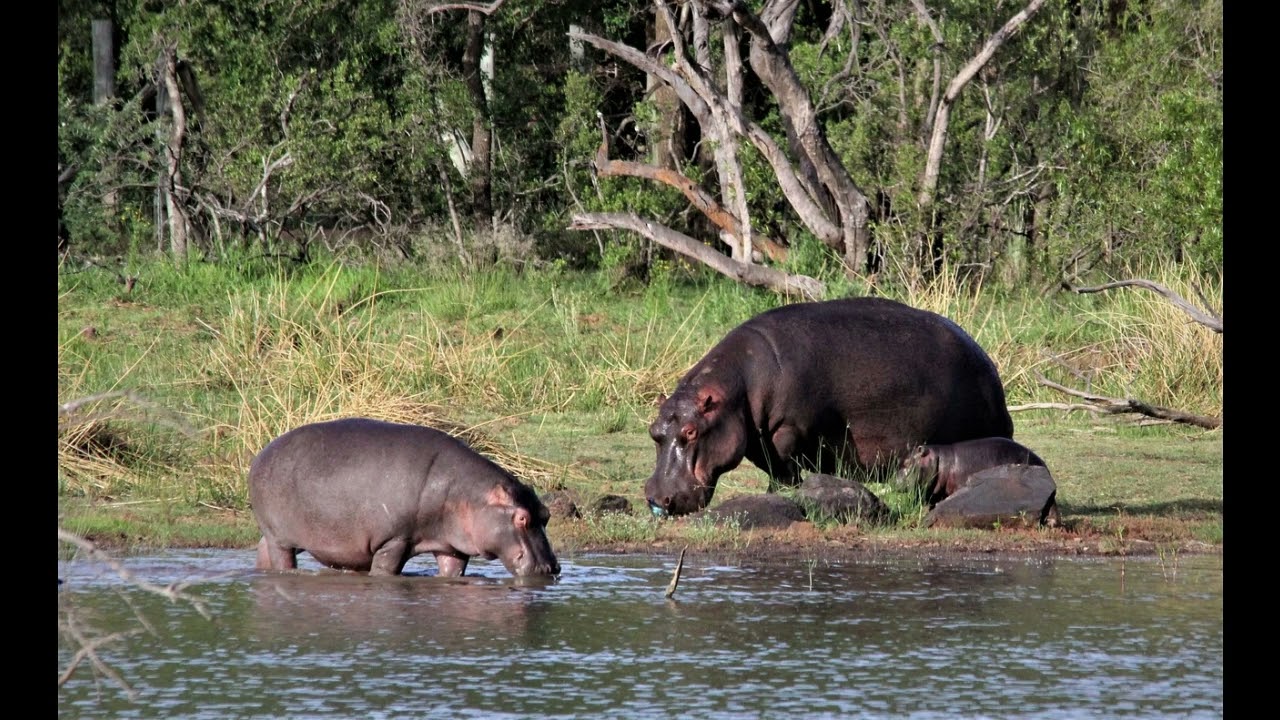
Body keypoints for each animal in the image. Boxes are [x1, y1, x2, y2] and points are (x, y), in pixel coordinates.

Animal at [248, 417, 560, 578]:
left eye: (546, 514)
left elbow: (452, 571)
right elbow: (386, 570)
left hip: (284, 535)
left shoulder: (451, 547)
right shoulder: (394, 540)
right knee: (281, 559)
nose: (551, 567)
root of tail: (261, 454)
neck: (471, 496)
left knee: (262, 551)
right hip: (281, 538)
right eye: (522, 518)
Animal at [644, 297, 1013, 516]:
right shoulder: (757, 436)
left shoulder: (787, 429)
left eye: (691, 431)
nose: (656, 498)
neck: (736, 388)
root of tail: (988, 364)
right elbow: (773, 466)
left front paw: (779, 494)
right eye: (654, 432)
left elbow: (784, 469)